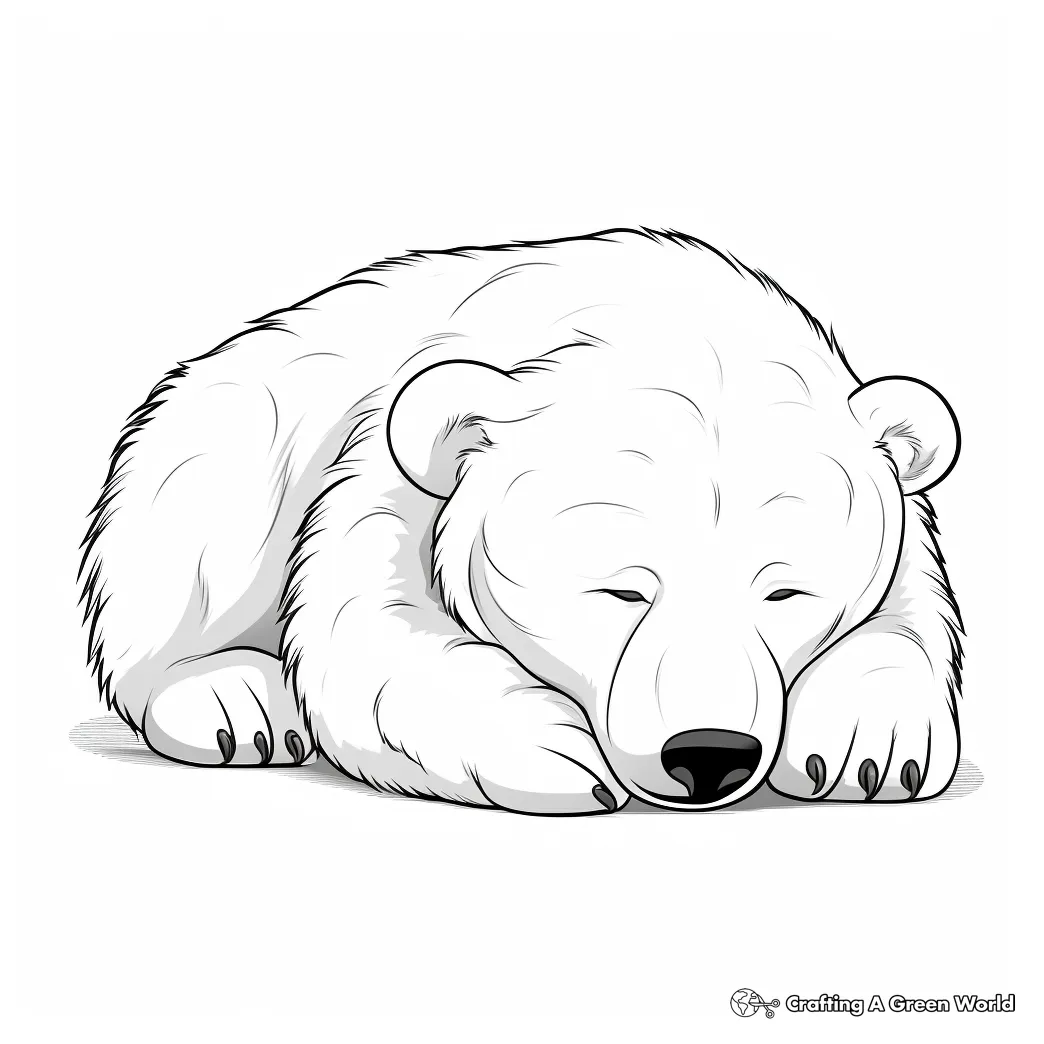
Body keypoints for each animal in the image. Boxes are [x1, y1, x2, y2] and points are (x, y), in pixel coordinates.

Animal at [79, 228, 964, 814]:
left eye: (784, 593)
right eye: (619, 591)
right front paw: (562, 753)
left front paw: (866, 746)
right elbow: (370, 628)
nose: (707, 755)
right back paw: (234, 703)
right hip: (233, 428)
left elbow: (909, 613)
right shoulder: (390, 464)